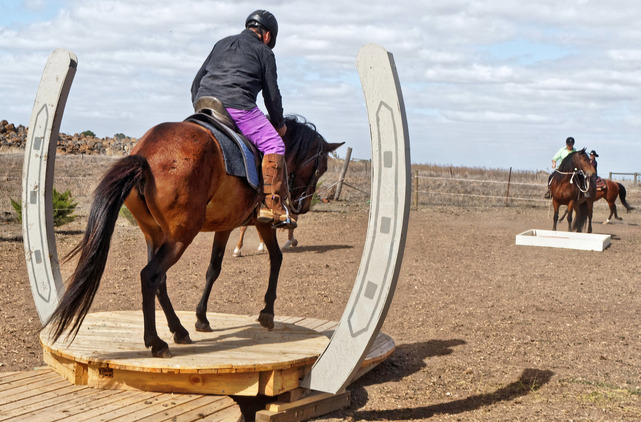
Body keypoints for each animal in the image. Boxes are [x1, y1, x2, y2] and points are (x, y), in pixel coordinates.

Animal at [45, 114, 343, 358]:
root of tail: (145, 155)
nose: (302, 206)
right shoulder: (262, 223)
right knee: (150, 276)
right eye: (321, 167)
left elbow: (213, 269)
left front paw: (201, 318)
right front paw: (267, 312)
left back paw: (178, 330)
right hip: (180, 237)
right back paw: (156, 342)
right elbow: (276, 259)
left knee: (159, 280)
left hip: (155, 235)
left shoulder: (225, 227)